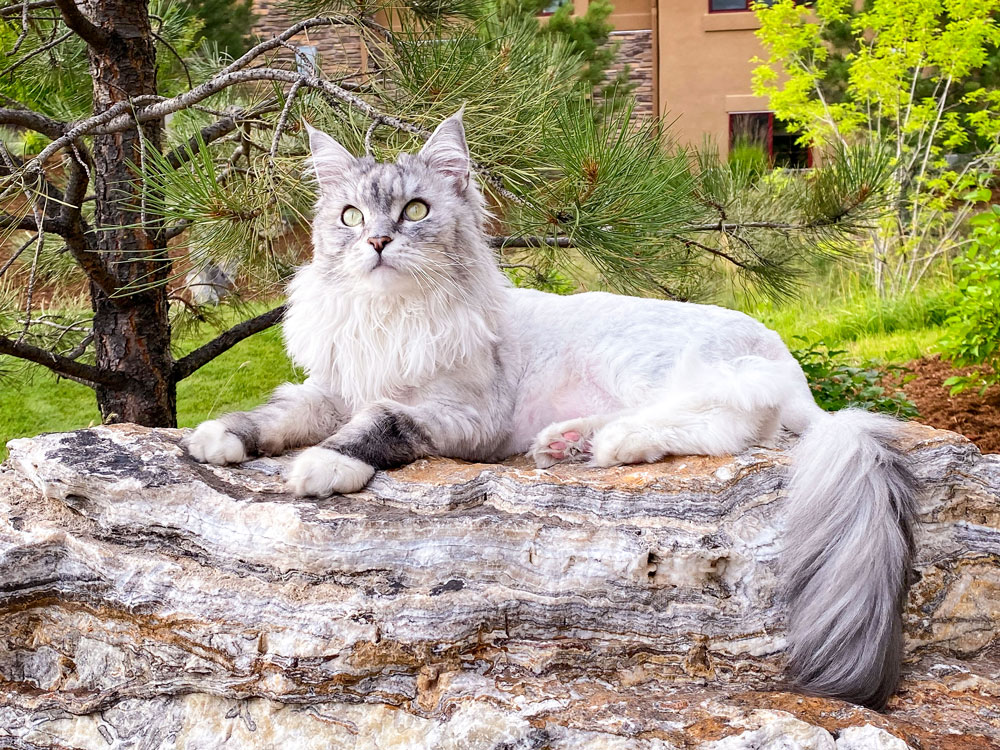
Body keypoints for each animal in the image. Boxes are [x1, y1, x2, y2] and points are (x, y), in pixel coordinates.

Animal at [184, 111, 916, 712]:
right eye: (350, 218)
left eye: (415, 210)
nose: (379, 245)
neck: (391, 318)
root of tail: (791, 367)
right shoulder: (331, 390)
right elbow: (274, 416)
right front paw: (218, 438)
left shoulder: (459, 416)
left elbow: (377, 425)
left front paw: (324, 465)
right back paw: (567, 444)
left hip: (663, 372)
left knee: (719, 426)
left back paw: (615, 444)